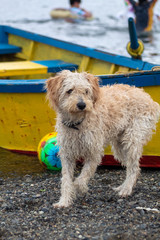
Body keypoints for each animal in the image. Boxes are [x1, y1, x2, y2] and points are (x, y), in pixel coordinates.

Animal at [45, 70, 160, 208]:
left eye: (86, 91)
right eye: (69, 90)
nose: (82, 105)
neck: (76, 123)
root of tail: (149, 99)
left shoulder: (94, 152)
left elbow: (82, 177)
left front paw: (80, 188)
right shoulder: (67, 155)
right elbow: (66, 180)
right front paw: (64, 201)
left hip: (132, 140)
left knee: (133, 168)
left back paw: (126, 189)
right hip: (119, 147)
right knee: (133, 167)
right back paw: (122, 187)